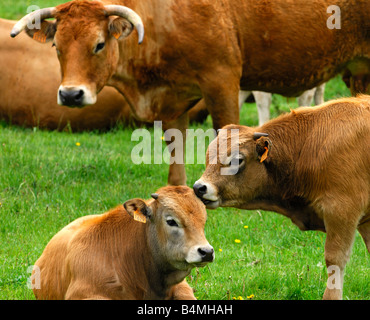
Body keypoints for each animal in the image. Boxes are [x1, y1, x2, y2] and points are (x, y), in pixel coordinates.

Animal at [10, 0, 370, 185]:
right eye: (57, 47)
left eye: (99, 44)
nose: (71, 95)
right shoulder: (173, 99)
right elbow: (176, 151)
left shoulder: (221, 79)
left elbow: (226, 132)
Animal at [194, 95, 370, 300]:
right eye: (208, 156)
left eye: (237, 160)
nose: (199, 187)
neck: (310, 144)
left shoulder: (341, 212)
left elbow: (334, 260)